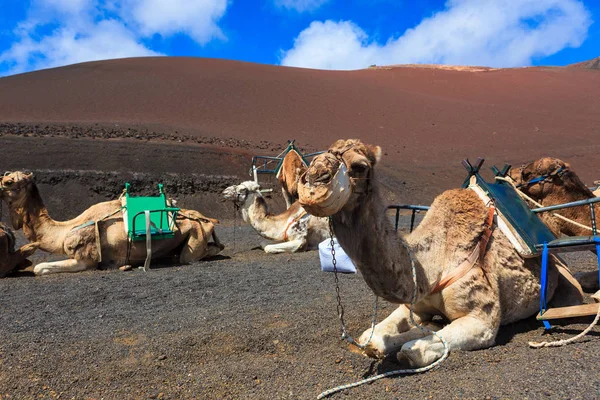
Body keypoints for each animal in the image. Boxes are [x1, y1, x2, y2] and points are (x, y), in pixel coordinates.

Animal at [1, 170, 224, 276]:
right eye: (5, 176)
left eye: (9, 182)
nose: (0, 186)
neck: (65, 230)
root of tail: (206, 218)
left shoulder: (85, 260)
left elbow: (39, 268)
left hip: (195, 236)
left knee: (195, 255)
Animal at [298, 139, 584, 368]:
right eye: (318, 156)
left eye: (359, 166)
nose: (314, 179)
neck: (433, 264)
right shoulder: (414, 304)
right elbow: (372, 338)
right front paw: (416, 329)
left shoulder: (482, 321)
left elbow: (412, 352)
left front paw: (417, 337)